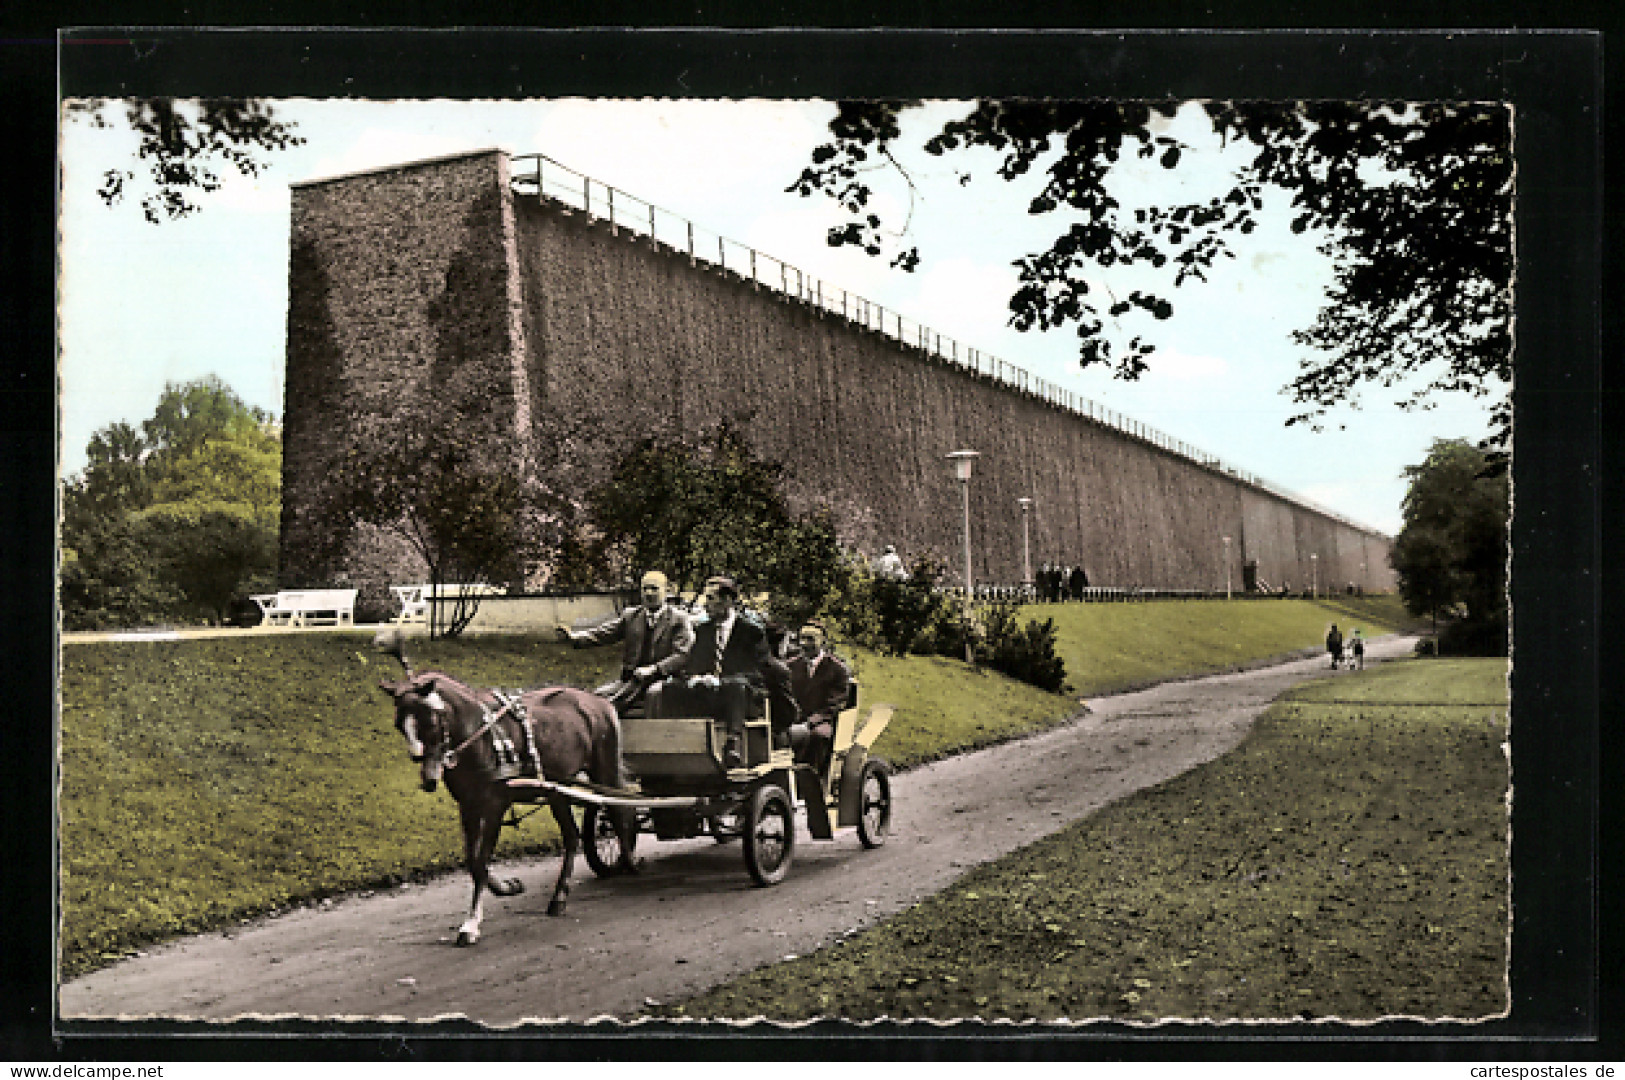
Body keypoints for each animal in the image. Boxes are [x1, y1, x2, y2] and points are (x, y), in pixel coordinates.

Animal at [377, 626, 637, 941]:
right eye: (399, 724)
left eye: (430, 721)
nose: (427, 773)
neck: (481, 736)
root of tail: (598, 701)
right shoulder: (468, 805)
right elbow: (473, 859)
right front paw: (505, 887)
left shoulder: (495, 804)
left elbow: (481, 858)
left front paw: (471, 923)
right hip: (556, 789)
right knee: (573, 836)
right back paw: (559, 896)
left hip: (605, 769)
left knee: (621, 812)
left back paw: (629, 864)